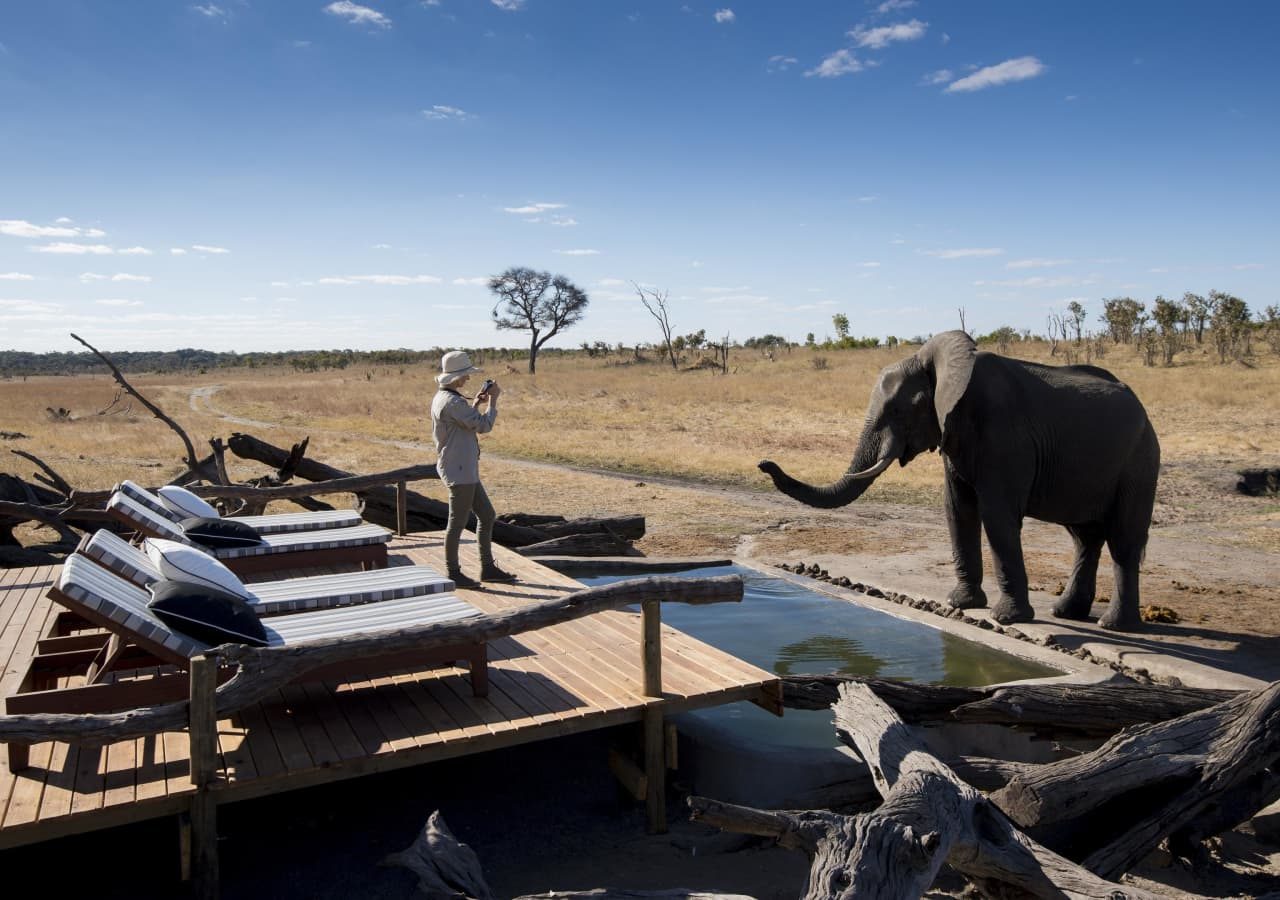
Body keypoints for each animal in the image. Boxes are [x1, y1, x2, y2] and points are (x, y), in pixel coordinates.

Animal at [757, 327, 1162, 629]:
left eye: (898, 411)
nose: (764, 463)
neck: (940, 365)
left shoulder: (1004, 436)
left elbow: (996, 517)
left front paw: (1007, 618)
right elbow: (957, 510)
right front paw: (962, 604)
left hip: (1140, 461)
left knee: (1122, 540)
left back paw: (1113, 625)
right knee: (1084, 537)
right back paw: (1067, 613)